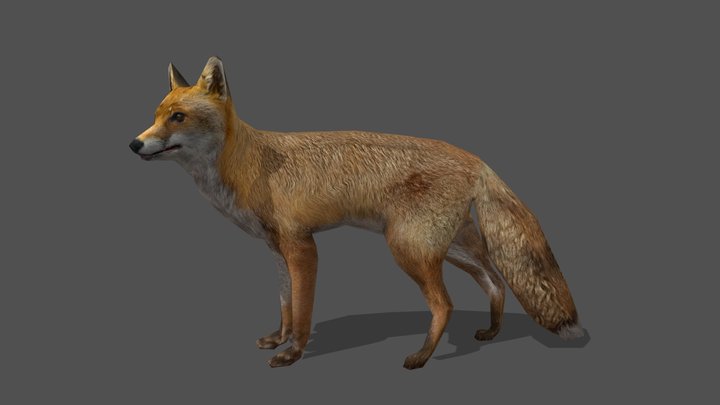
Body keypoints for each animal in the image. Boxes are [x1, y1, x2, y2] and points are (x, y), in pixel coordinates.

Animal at [129, 56, 583, 369]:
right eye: (156, 115)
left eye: (178, 117)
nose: (134, 144)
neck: (250, 165)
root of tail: (476, 159)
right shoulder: (276, 249)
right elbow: (285, 303)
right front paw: (279, 338)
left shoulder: (302, 246)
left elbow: (303, 309)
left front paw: (293, 353)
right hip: (448, 247)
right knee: (495, 281)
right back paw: (490, 331)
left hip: (409, 249)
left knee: (446, 304)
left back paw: (421, 357)